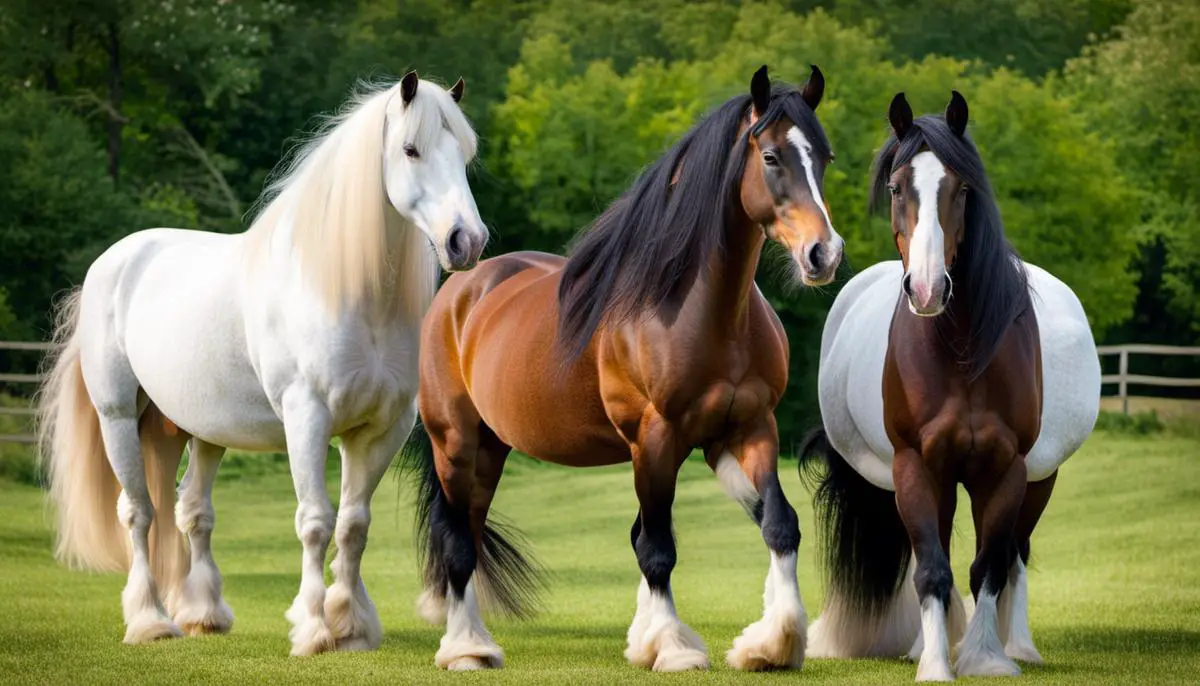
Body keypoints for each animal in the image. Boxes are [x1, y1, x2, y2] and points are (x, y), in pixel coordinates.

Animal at [38, 72, 487, 657]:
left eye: (466, 155)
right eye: (410, 149)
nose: (467, 240)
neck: (350, 294)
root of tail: (114, 262)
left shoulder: (380, 430)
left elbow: (353, 525)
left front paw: (351, 626)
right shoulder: (307, 418)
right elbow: (316, 522)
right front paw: (314, 628)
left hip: (196, 429)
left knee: (191, 512)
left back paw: (203, 614)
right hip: (117, 416)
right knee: (139, 513)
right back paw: (150, 621)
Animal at [403, 65, 844, 671]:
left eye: (823, 155)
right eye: (773, 156)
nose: (824, 253)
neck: (700, 310)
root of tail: (461, 290)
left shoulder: (746, 429)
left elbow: (778, 524)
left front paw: (772, 642)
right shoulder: (654, 437)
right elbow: (656, 548)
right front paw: (673, 646)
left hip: (491, 449)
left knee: (468, 527)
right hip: (456, 443)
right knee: (457, 543)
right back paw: (467, 648)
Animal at [796, 93, 1099, 681]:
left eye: (962, 188)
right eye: (896, 187)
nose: (928, 288)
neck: (961, 353)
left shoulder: (1006, 470)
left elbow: (989, 566)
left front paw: (984, 658)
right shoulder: (917, 465)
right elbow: (933, 569)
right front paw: (937, 664)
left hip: (1040, 478)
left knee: (1016, 553)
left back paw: (1019, 646)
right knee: (930, 555)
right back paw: (922, 646)